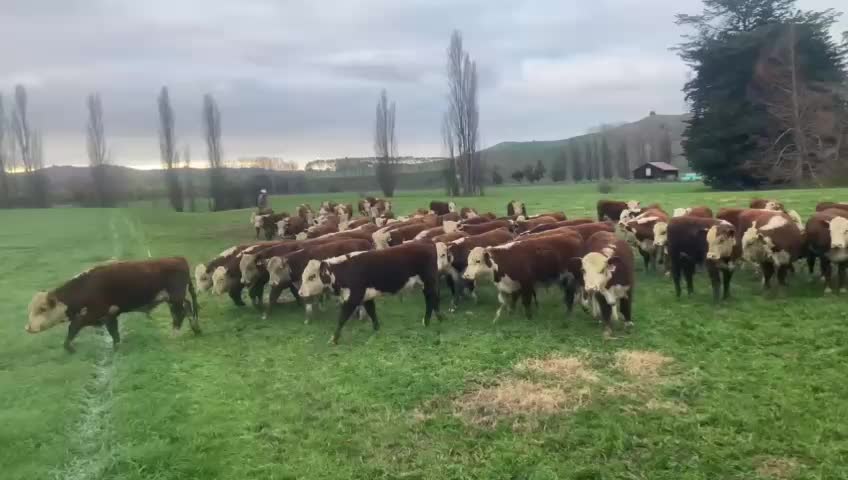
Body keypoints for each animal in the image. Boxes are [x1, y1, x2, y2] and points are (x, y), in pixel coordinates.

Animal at [26, 257, 200, 352]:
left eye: (42, 309)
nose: (28, 328)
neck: (86, 287)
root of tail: (178, 259)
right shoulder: (109, 316)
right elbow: (114, 334)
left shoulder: (95, 313)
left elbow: (73, 327)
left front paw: (69, 348)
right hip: (175, 299)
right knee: (187, 307)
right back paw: (196, 330)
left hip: (175, 299)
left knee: (180, 314)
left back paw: (175, 335)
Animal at [298, 241, 443, 344]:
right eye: (303, 276)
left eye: (312, 277)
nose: (300, 293)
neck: (344, 270)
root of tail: (427, 243)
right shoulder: (366, 297)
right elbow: (372, 312)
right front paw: (376, 330)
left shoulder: (352, 299)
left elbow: (342, 319)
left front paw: (333, 339)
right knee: (434, 299)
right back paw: (439, 319)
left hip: (428, 283)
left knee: (431, 299)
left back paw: (427, 321)